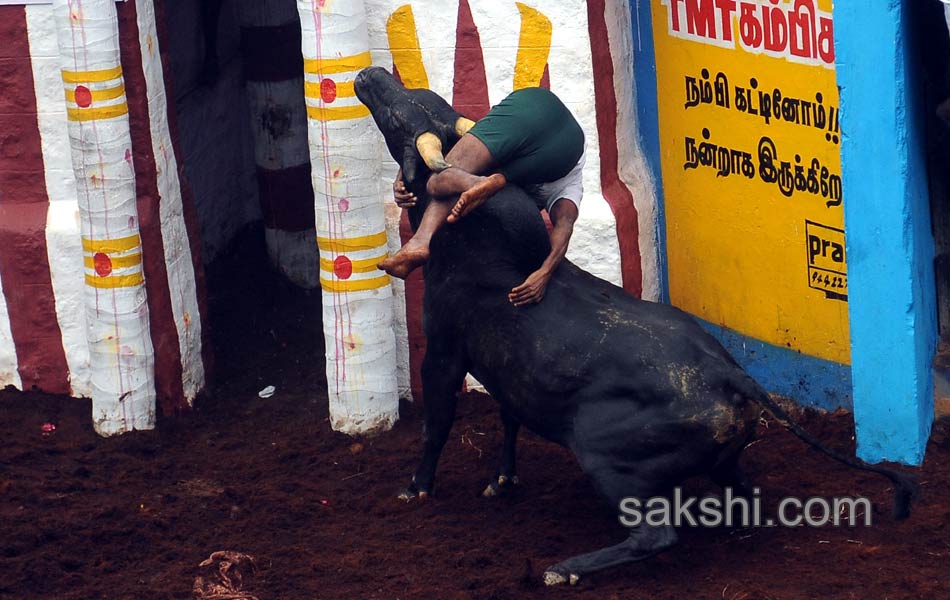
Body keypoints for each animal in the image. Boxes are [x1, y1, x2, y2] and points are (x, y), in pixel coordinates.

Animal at [354, 67, 920, 584]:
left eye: (398, 116)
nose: (370, 73)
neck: (484, 241)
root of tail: (730, 373)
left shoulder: (444, 351)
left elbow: (437, 423)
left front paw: (416, 487)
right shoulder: (506, 373)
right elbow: (509, 417)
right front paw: (501, 479)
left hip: (606, 458)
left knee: (656, 534)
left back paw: (564, 569)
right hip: (722, 461)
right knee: (747, 496)